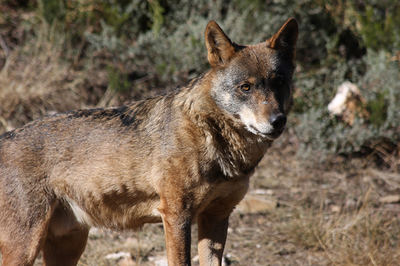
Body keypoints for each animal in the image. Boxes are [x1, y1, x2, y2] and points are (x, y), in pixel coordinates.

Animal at [0, 17, 296, 264]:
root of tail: (5, 136)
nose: (277, 121)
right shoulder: (176, 215)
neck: (212, 136)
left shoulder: (216, 217)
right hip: (26, 249)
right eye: (246, 87)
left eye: (279, 83)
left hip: (69, 246)